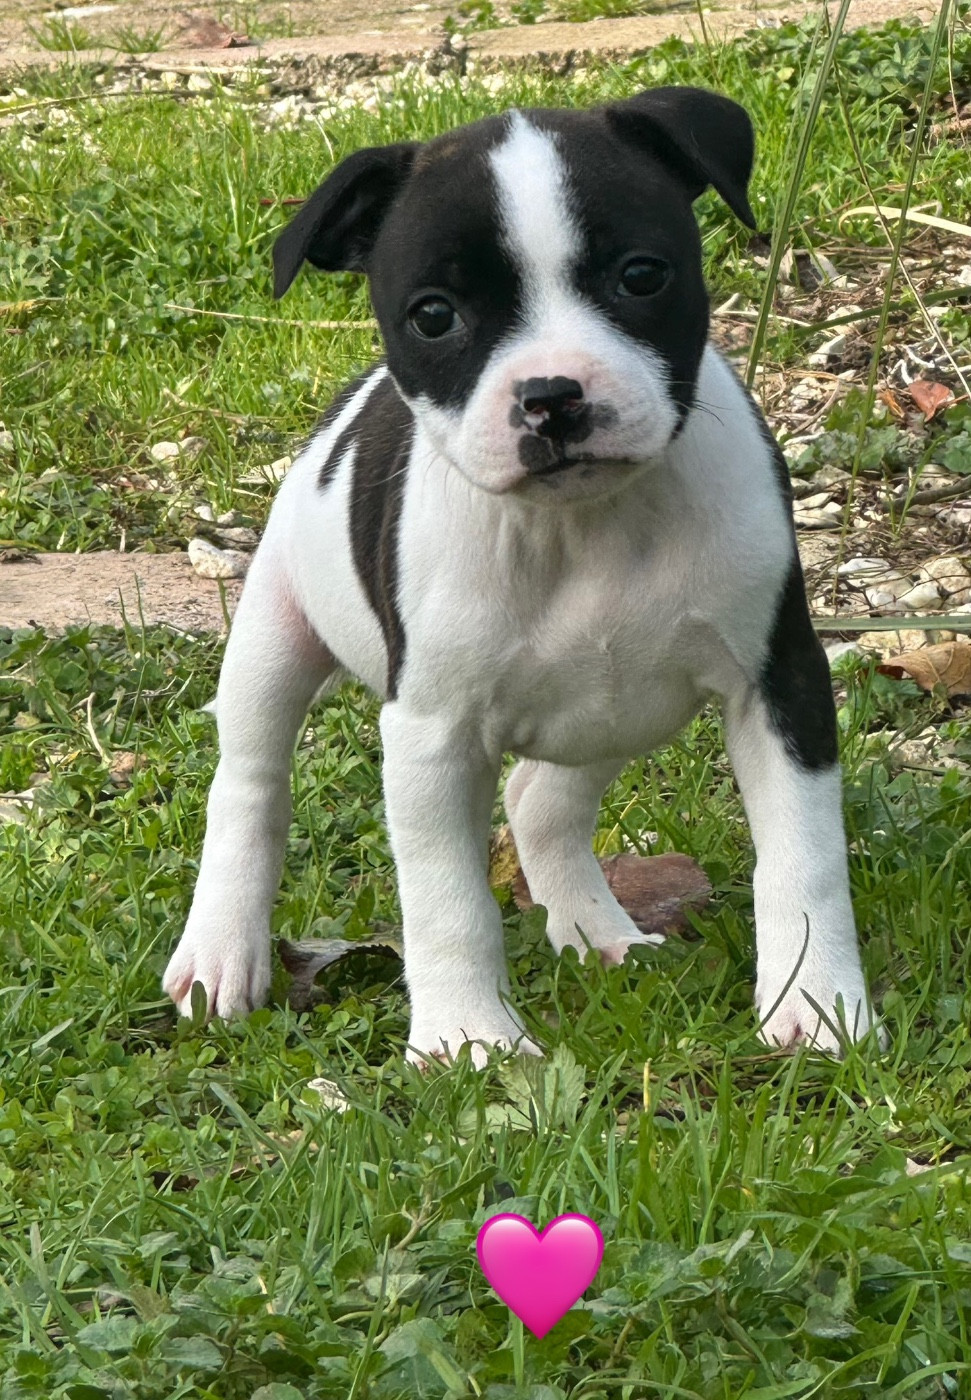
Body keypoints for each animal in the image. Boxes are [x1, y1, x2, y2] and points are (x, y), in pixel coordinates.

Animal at [163, 84, 879, 1065]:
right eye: (433, 315)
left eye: (640, 277)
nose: (551, 396)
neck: (584, 528)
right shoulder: (431, 736)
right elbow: (447, 899)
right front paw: (468, 1039)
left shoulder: (778, 686)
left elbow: (804, 857)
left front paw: (816, 1003)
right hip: (274, 638)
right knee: (249, 787)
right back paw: (222, 949)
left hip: (616, 706)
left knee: (539, 798)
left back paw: (596, 931)